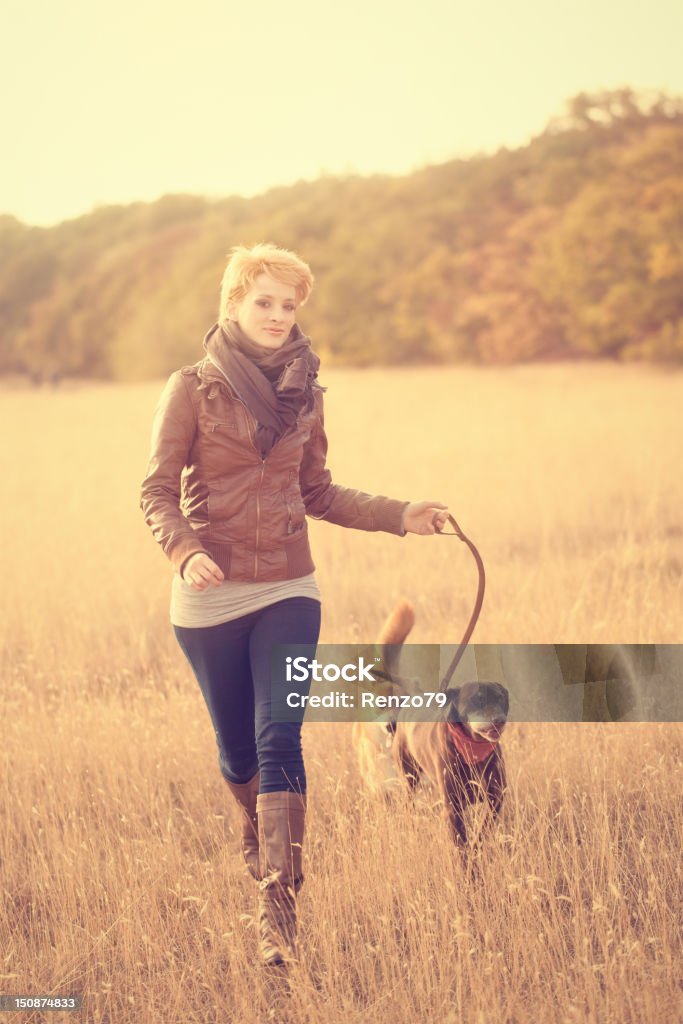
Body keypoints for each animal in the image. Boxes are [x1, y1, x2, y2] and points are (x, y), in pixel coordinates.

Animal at [356, 598, 509, 843]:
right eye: (477, 699)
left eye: (501, 698)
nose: (499, 720)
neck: (472, 750)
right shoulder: (452, 808)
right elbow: (462, 843)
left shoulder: (495, 798)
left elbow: (483, 829)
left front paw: (479, 845)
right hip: (409, 776)